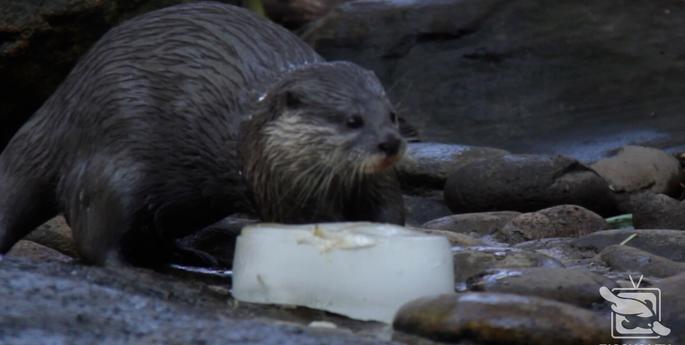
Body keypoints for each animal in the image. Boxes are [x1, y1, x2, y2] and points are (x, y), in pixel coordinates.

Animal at [0, 1, 406, 264]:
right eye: (352, 120)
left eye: (391, 115)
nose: (389, 143)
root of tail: (65, 101)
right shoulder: (278, 182)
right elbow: (302, 220)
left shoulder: (377, 185)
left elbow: (391, 213)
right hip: (115, 160)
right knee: (94, 236)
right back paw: (129, 267)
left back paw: (187, 256)